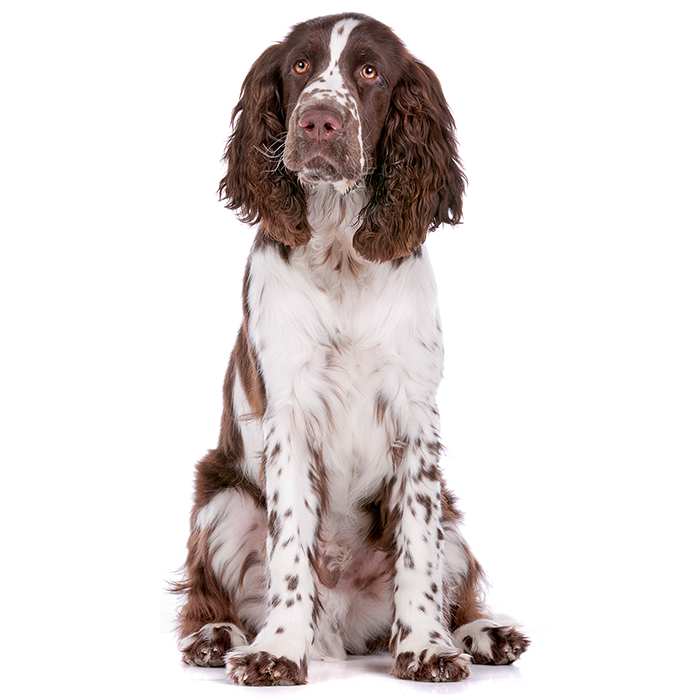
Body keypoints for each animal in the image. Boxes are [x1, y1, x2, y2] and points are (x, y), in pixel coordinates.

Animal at [172, 13, 528, 688]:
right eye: (300, 67)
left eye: (369, 71)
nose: (318, 121)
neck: (340, 250)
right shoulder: (287, 414)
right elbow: (289, 547)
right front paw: (277, 651)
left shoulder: (415, 418)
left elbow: (417, 547)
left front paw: (428, 647)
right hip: (222, 500)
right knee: (209, 595)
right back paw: (218, 635)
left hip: (453, 520)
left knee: (456, 583)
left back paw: (482, 634)